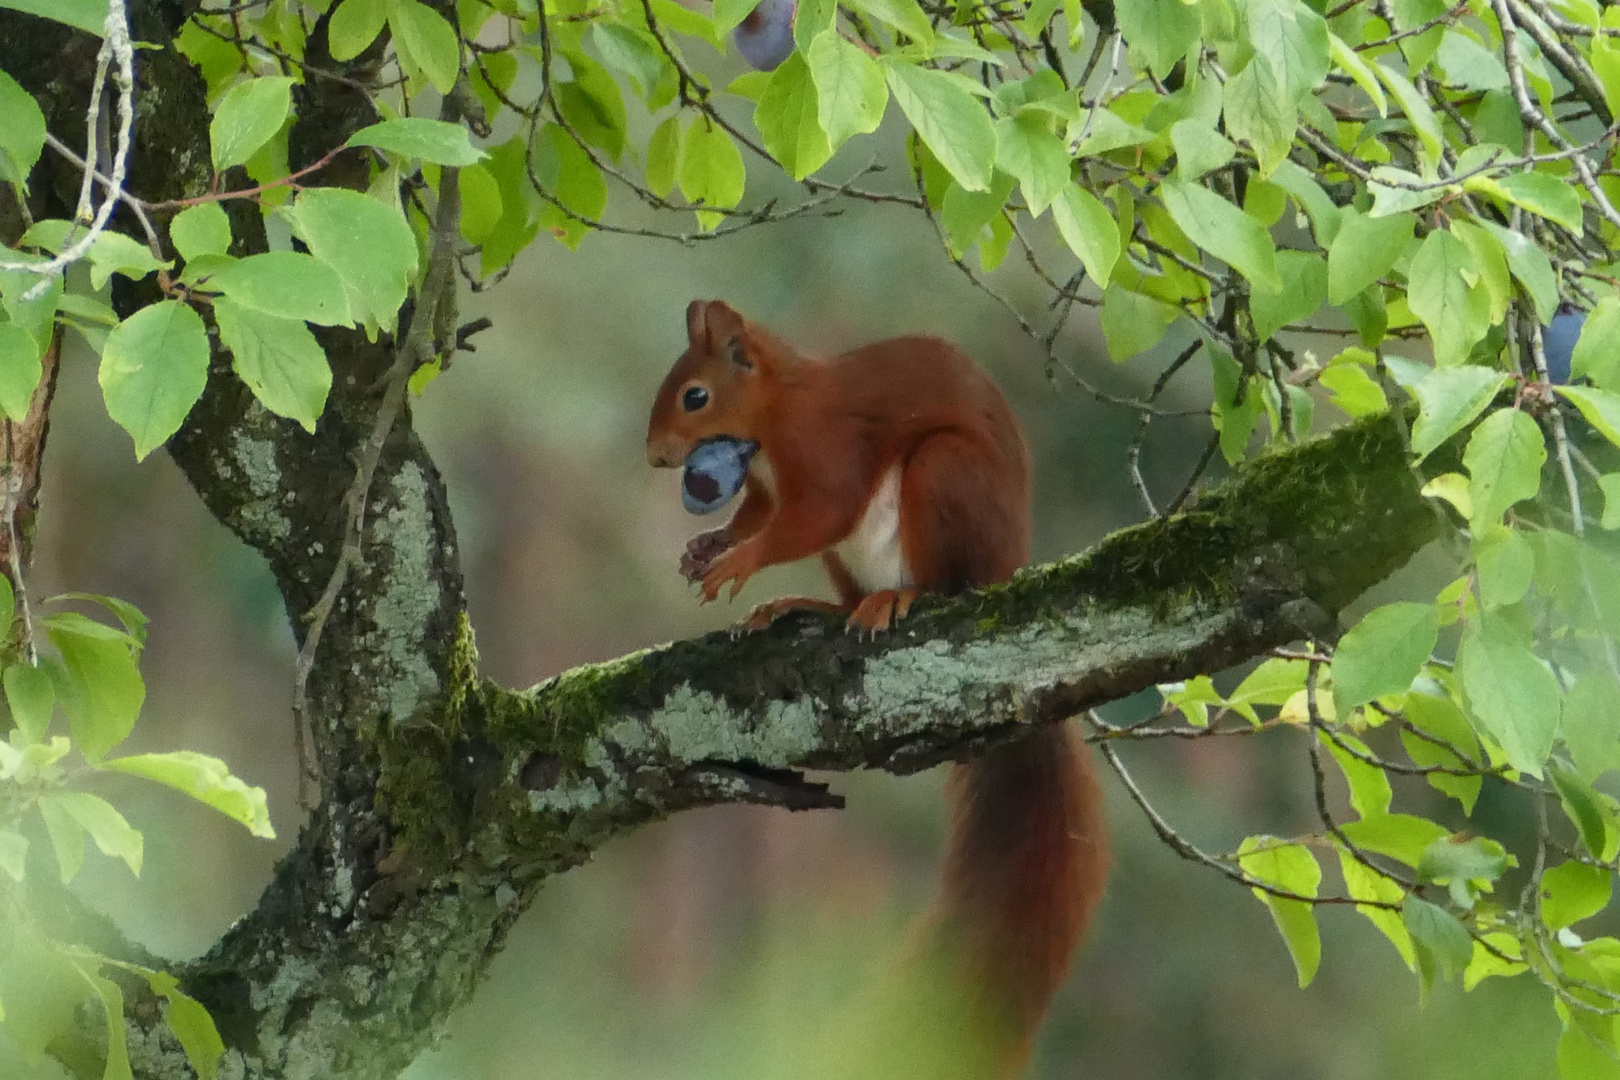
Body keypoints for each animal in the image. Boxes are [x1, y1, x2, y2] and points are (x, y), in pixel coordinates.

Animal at [644, 297, 1114, 1080]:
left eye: (695, 396)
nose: (653, 455)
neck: (774, 413)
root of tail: (1006, 569)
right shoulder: (768, 484)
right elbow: (760, 515)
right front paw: (710, 545)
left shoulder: (824, 448)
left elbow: (815, 513)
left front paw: (737, 562)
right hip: (856, 555)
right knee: (843, 591)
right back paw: (808, 606)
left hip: (944, 480)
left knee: (944, 581)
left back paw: (899, 600)